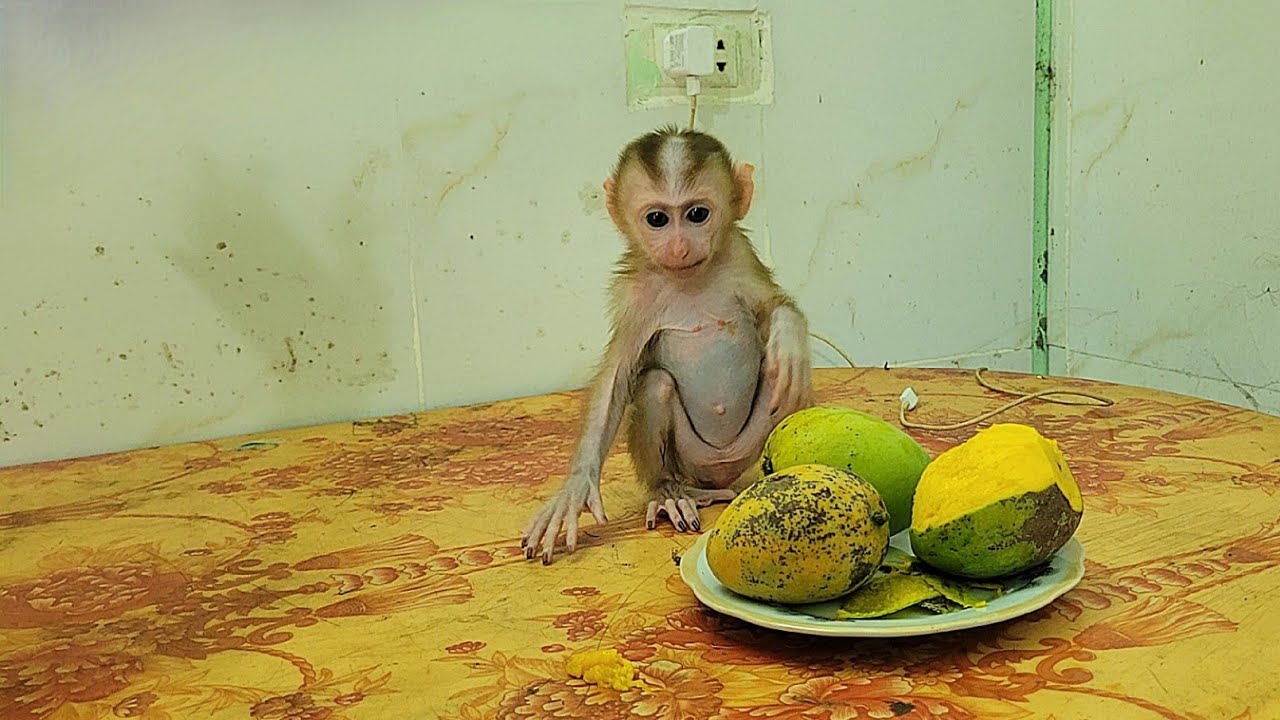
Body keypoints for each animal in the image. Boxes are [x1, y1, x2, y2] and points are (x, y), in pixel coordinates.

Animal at [521, 126, 813, 564]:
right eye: (657, 219)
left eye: (697, 214)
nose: (678, 247)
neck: (690, 280)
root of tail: (720, 471)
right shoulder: (635, 296)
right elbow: (617, 379)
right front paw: (576, 486)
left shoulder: (740, 258)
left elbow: (776, 307)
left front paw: (788, 337)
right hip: (690, 458)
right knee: (655, 384)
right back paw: (669, 492)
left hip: (752, 445)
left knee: (788, 386)